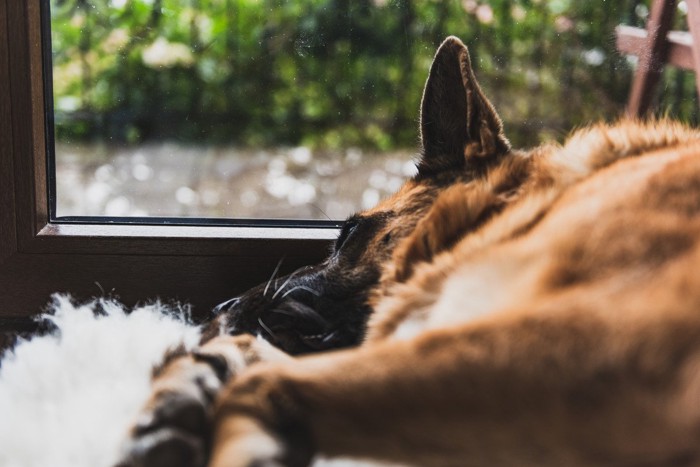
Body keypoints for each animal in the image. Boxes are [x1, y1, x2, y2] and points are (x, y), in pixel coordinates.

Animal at [117, 37, 700, 467]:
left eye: (347, 235)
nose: (216, 310)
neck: (514, 211)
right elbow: (251, 357)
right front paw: (187, 382)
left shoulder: (582, 345)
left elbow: (260, 380)